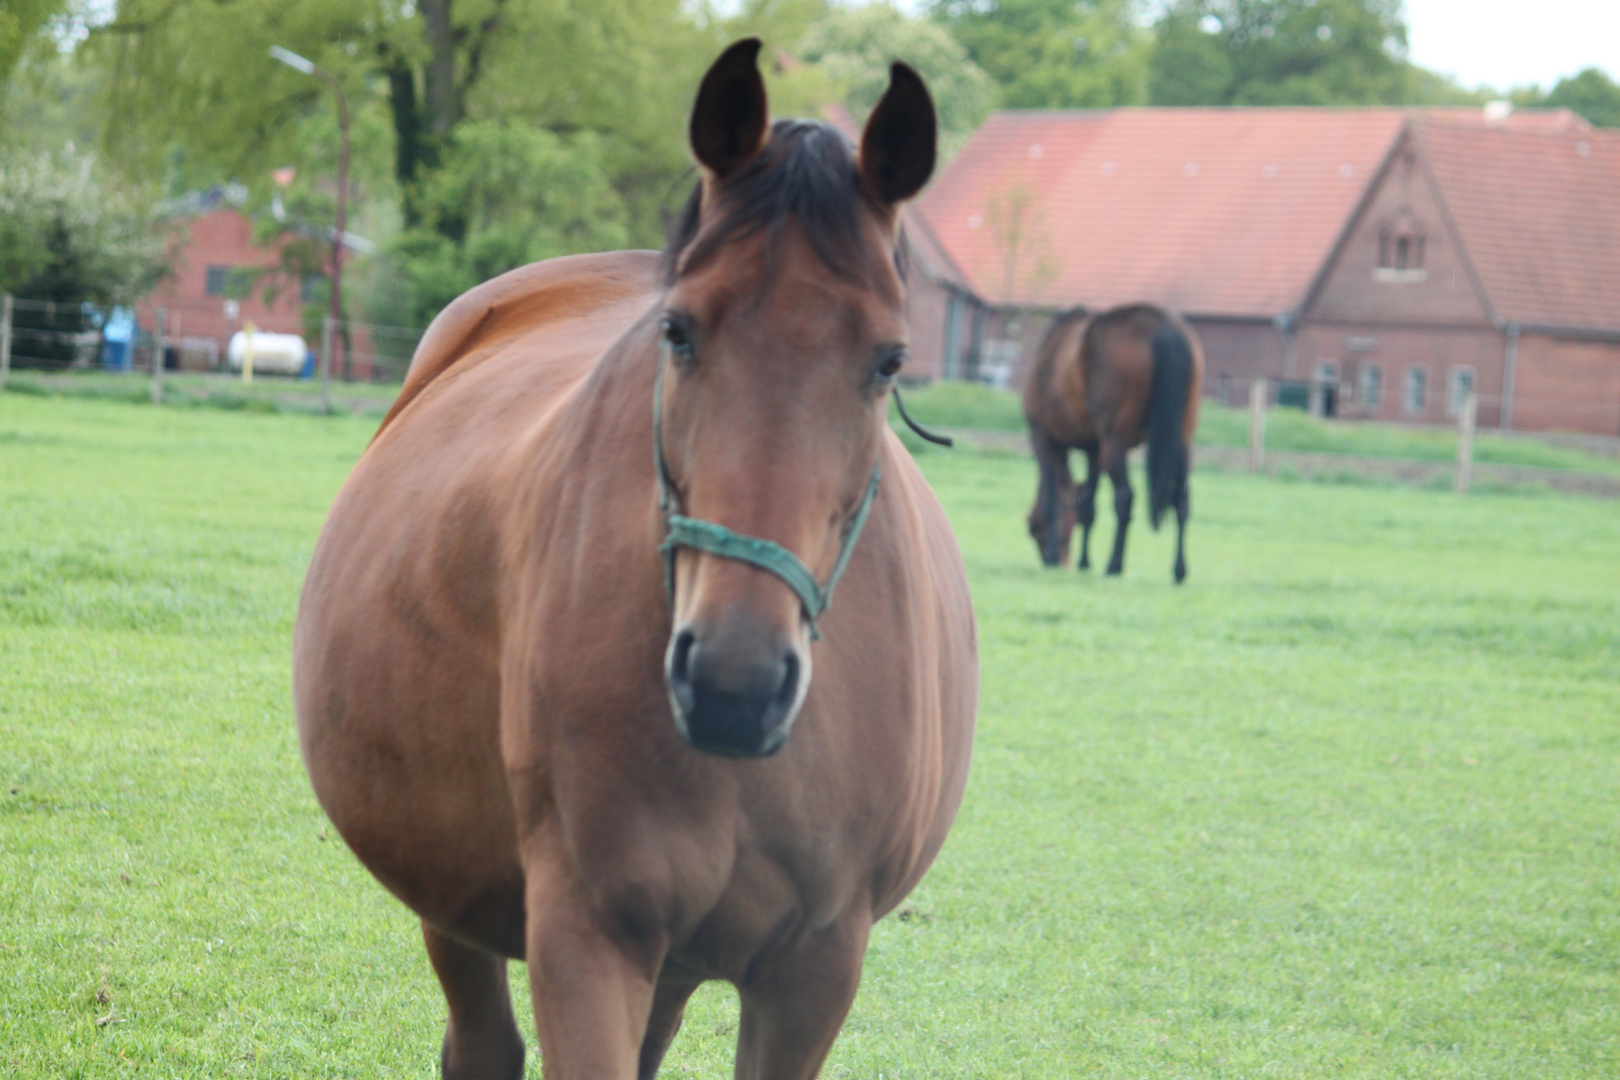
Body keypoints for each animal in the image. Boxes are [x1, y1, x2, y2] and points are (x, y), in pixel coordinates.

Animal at [291, 38, 972, 1075]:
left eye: (889, 360)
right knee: (481, 1040)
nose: (734, 680)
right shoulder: (588, 929)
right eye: (677, 330)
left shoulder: (814, 968)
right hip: (456, 889)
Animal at [1023, 304, 1205, 582]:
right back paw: (1179, 570)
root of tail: (1163, 327)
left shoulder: (1043, 437)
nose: (1061, 561)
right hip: (1181, 443)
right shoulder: (1093, 449)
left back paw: (1114, 564)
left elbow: (1052, 499)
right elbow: (1087, 506)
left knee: (1125, 497)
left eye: (1034, 530)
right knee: (1181, 500)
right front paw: (1084, 562)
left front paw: (1059, 556)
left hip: (1115, 443)